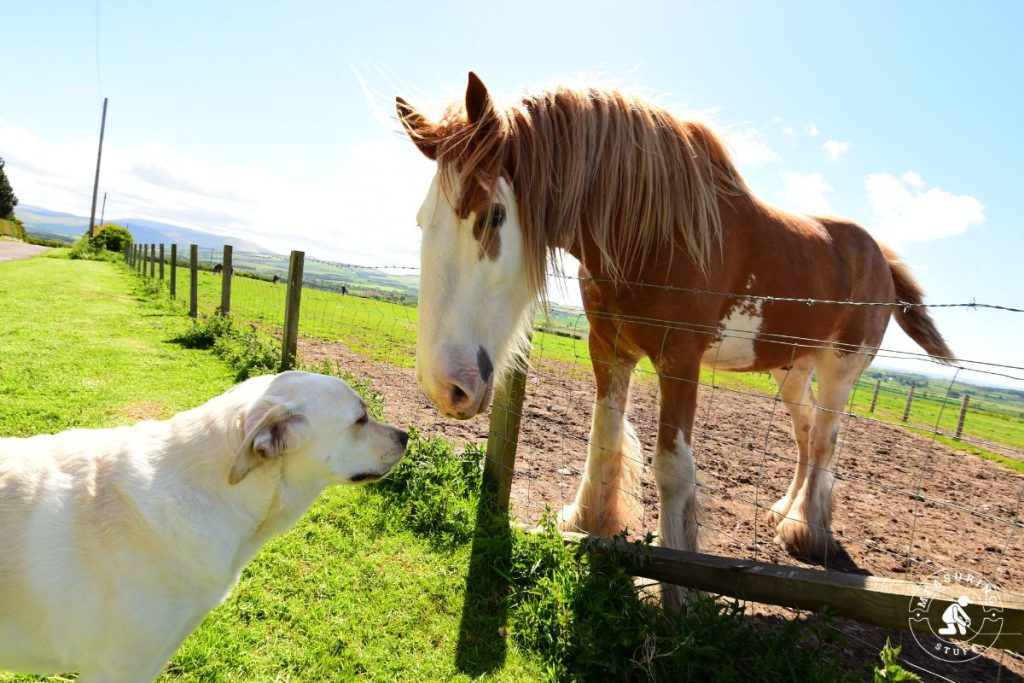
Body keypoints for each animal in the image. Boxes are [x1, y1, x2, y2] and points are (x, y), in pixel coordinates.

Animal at [396, 73, 953, 608]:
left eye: (493, 215)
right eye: (421, 219)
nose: (443, 384)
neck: (652, 233)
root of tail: (877, 251)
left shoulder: (680, 358)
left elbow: (672, 468)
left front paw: (677, 588)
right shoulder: (608, 348)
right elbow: (604, 441)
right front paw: (588, 522)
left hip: (841, 366)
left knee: (825, 439)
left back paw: (807, 531)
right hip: (791, 367)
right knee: (805, 430)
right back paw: (784, 511)